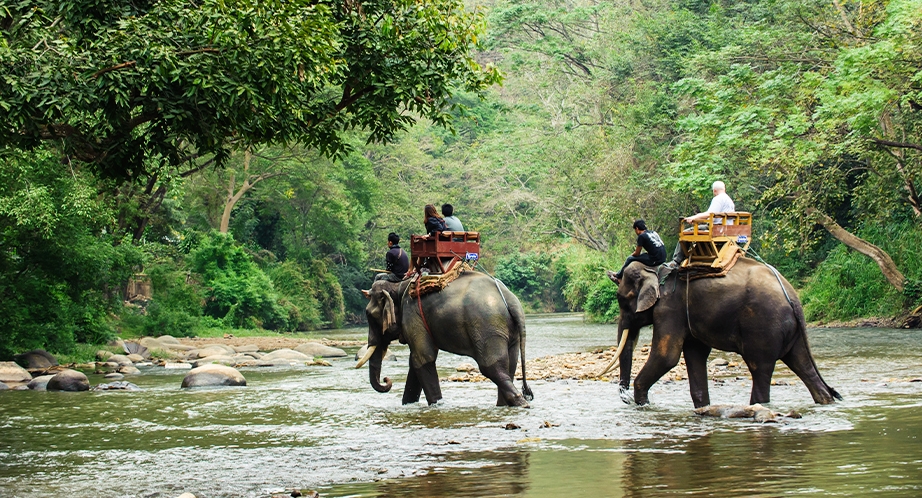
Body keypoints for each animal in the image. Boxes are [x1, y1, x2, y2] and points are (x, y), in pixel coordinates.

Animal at [358, 270, 532, 406]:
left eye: (369, 315)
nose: (386, 380)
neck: (399, 285)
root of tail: (511, 300)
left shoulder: (412, 314)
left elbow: (423, 358)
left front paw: (437, 404)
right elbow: (416, 361)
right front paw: (408, 404)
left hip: (487, 326)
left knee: (491, 366)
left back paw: (521, 402)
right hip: (508, 330)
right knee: (509, 364)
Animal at [612, 256, 840, 408]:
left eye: (622, 300)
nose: (626, 399)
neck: (655, 270)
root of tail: (793, 296)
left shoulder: (669, 308)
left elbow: (666, 356)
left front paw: (643, 404)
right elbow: (695, 354)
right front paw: (703, 408)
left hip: (763, 327)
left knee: (760, 368)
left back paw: (757, 406)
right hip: (793, 332)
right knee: (802, 364)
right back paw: (825, 400)